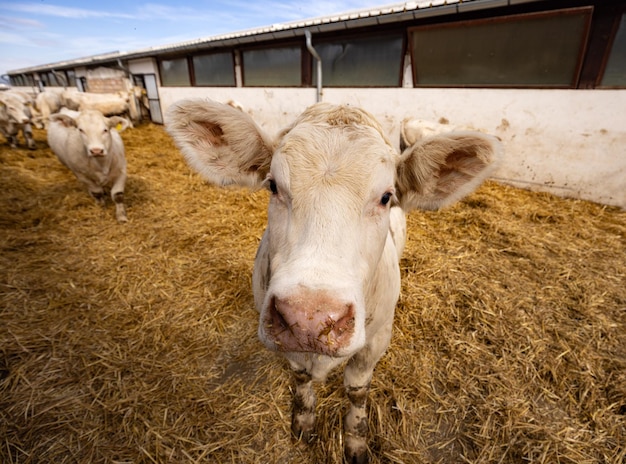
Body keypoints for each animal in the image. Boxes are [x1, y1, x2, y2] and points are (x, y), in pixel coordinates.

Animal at [163, 99, 500, 462]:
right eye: (273, 185)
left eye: (386, 196)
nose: (309, 318)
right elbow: (300, 378)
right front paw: (304, 420)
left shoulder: (376, 338)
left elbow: (356, 390)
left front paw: (355, 440)